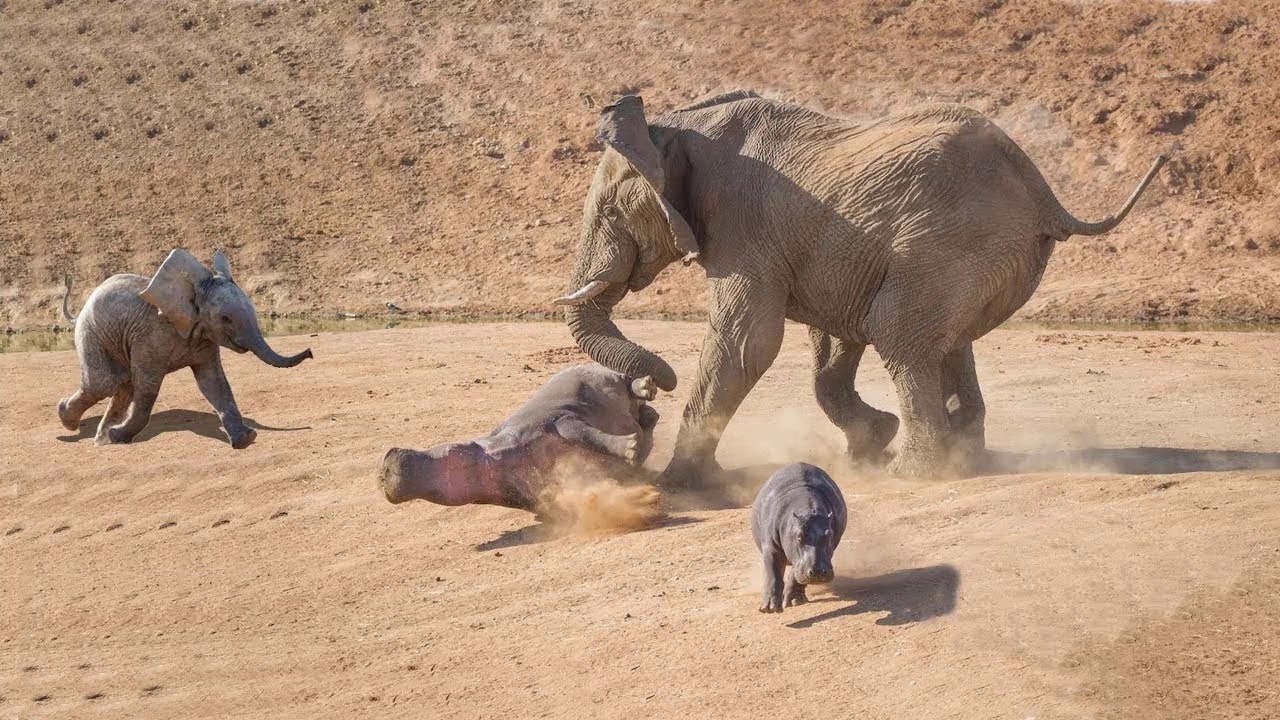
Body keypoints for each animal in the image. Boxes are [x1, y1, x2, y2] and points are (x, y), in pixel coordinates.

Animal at [58, 249, 313, 448]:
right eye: (225, 318)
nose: (310, 352)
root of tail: (82, 309)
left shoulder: (204, 338)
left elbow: (213, 383)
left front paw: (246, 440)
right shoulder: (152, 337)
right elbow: (148, 387)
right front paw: (118, 436)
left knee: (122, 385)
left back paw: (101, 440)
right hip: (91, 332)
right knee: (104, 383)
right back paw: (69, 419)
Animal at [380, 364, 659, 514]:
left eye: (457, 450)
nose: (387, 462)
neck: (497, 457)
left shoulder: (558, 419)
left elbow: (586, 434)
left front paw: (631, 448)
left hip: (604, 377)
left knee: (628, 383)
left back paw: (647, 385)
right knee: (647, 414)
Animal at [554, 90, 1165, 483]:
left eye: (609, 212)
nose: (650, 387)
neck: (674, 128)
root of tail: (1044, 193)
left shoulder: (742, 227)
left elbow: (748, 343)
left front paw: (679, 484)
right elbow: (830, 342)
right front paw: (868, 443)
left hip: (950, 242)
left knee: (899, 335)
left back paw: (914, 473)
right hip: (977, 255)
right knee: (947, 342)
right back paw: (961, 457)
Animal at [750, 463, 848, 613]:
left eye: (828, 535)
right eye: (799, 536)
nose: (818, 571)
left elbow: (794, 576)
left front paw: (794, 601)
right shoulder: (771, 547)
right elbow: (773, 573)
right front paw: (769, 608)